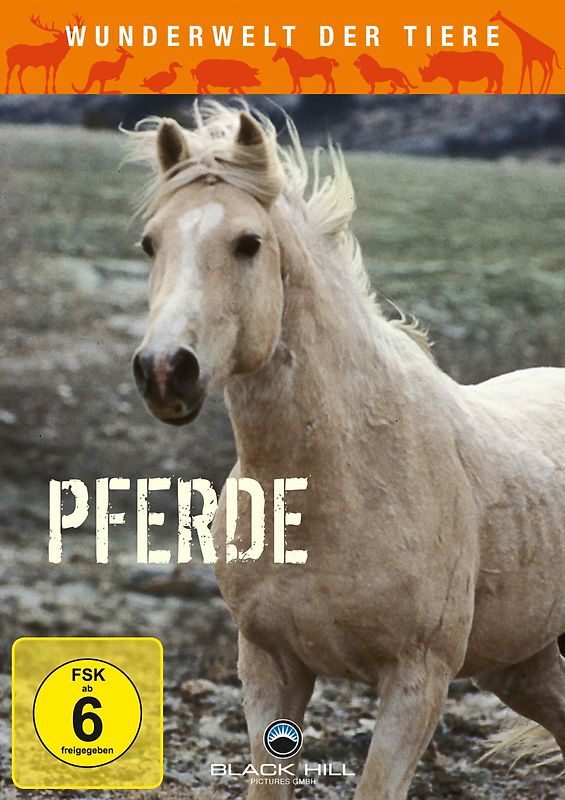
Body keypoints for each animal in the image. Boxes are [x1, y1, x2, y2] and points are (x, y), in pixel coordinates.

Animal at [127, 103, 565, 799]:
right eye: (151, 243)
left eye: (248, 243)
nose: (166, 371)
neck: (342, 479)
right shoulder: (270, 664)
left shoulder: (416, 680)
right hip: (521, 663)